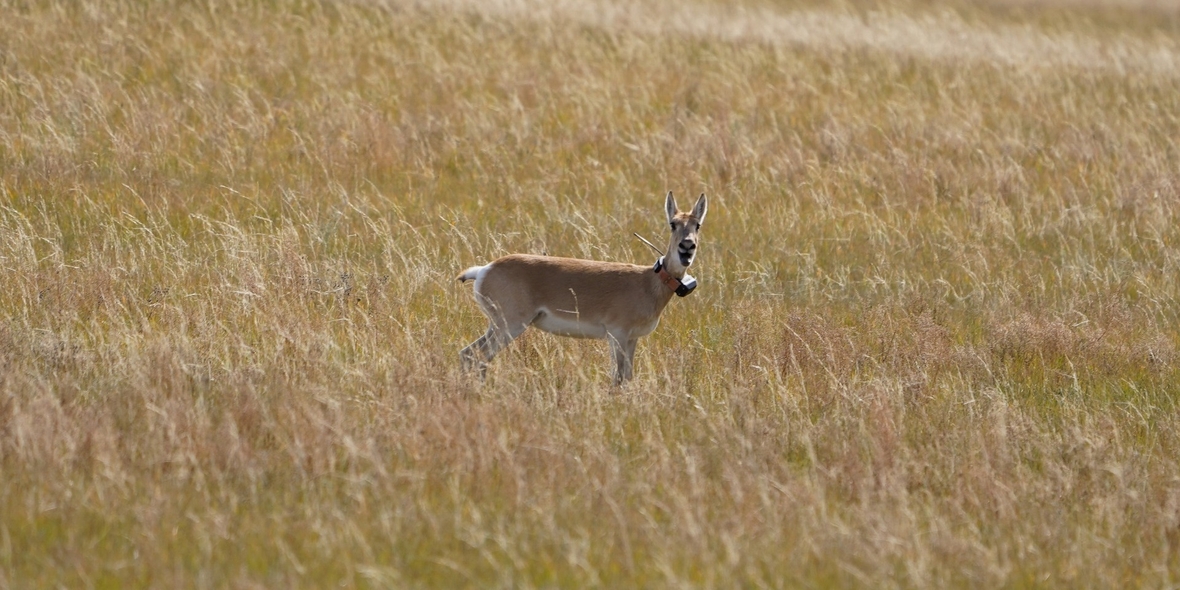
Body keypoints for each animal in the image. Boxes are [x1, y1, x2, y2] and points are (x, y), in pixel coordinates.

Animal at [455, 191, 703, 384]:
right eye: (673, 223)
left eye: (697, 225)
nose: (687, 247)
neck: (647, 283)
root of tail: (484, 269)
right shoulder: (617, 335)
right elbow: (617, 378)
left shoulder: (632, 339)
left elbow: (628, 377)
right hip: (510, 326)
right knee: (478, 356)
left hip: (497, 326)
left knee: (468, 354)